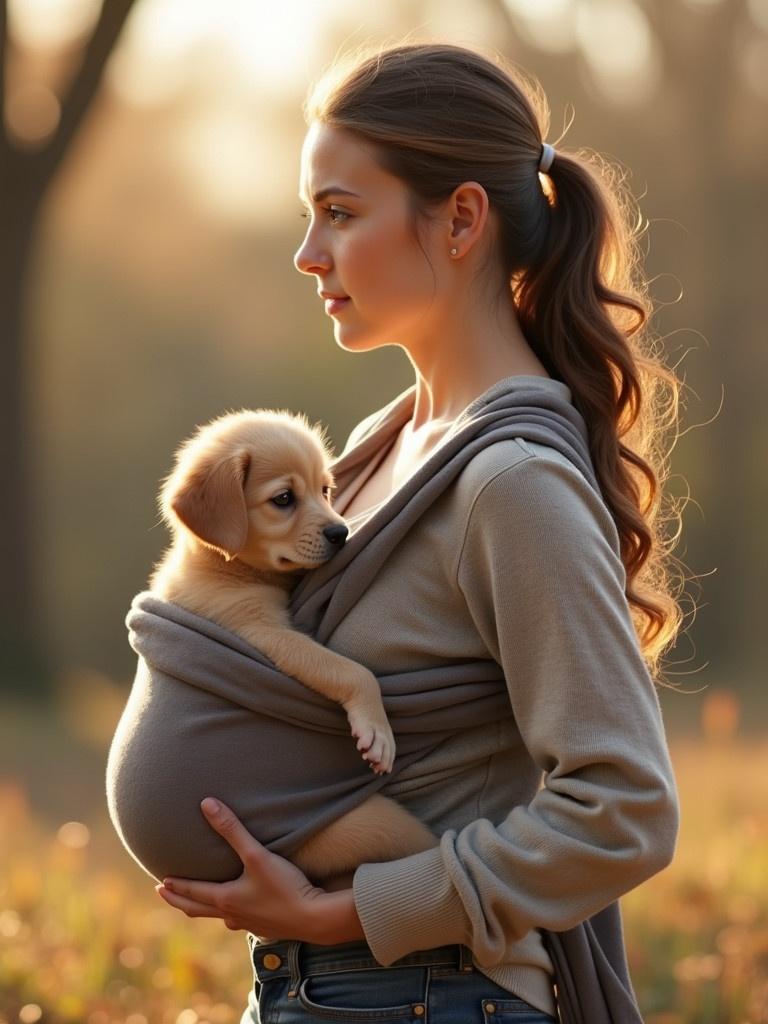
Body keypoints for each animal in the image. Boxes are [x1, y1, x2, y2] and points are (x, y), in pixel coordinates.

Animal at [148, 407, 438, 880]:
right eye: (284, 499)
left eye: (325, 489)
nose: (341, 533)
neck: (222, 565)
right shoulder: (263, 631)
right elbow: (351, 671)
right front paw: (376, 730)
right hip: (377, 825)